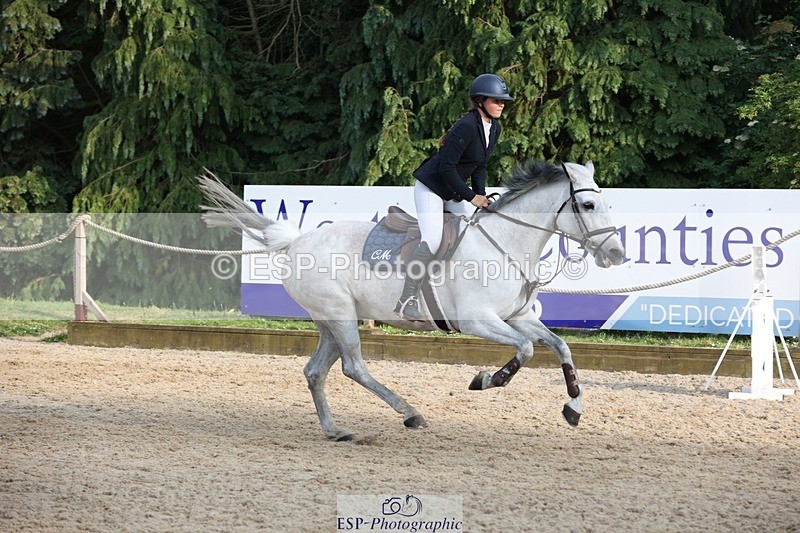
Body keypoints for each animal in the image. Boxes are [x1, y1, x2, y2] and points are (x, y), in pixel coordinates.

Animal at [198, 160, 626, 441]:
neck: (504, 243)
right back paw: (410, 413)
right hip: (340, 315)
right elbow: (526, 350)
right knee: (354, 368)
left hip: (330, 321)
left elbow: (560, 346)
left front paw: (573, 409)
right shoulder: (477, 320)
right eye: (589, 205)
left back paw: (335, 430)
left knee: (316, 372)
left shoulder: (517, 316)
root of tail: (297, 240)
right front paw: (487, 380)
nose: (617, 254)